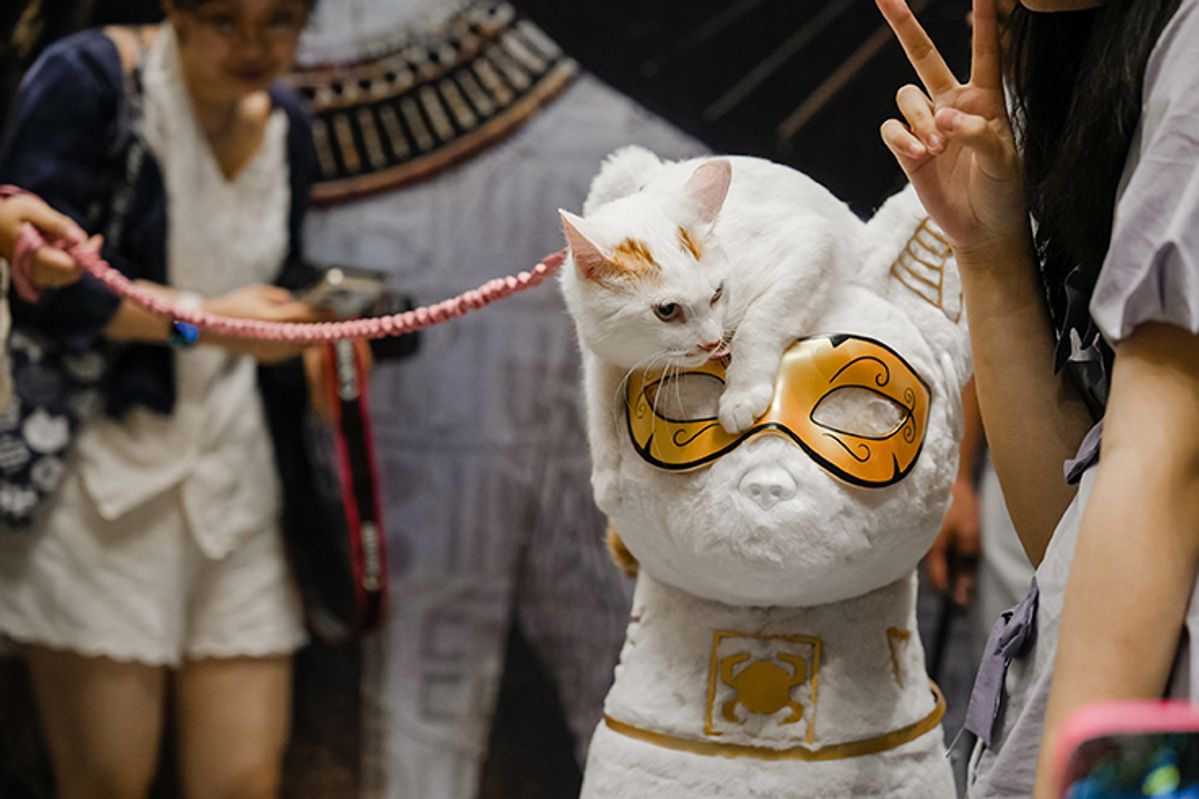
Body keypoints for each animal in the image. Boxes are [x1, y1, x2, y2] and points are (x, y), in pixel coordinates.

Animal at [561, 146, 863, 513]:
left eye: (717, 293)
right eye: (667, 310)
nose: (712, 342)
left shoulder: (812, 241)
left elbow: (760, 321)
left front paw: (742, 394)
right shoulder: (598, 349)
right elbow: (598, 403)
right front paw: (606, 476)